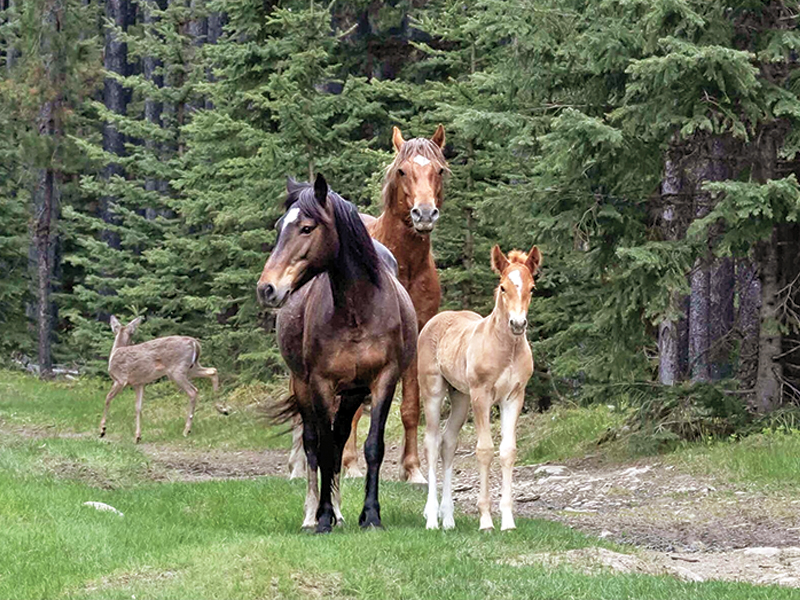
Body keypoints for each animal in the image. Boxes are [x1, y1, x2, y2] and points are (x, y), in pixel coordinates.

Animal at [257, 174, 417, 533]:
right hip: (302, 385)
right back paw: (311, 514)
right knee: (313, 444)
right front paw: (323, 517)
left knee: (341, 436)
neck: (357, 310)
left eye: (306, 228)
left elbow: (372, 447)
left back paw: (342, 512)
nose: (266, 288)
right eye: (279, 226)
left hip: (353, 393)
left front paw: (370, 515)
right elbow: (325, 449)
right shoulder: (320, 383)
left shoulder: (383, 380)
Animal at [419, 245, 541, 531]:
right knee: (431, 442)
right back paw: (432, 518)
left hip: (460, 397)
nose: (517, 324)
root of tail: (437, 318)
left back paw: (448, 518)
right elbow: (484, 450)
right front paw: (485, 520)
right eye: (503, 287)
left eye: (532, 288)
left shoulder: (514, 396)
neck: (506, 349)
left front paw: (508, 521)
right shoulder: (481, 395)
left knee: (448, 443)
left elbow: (508, 451)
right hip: (433, 391)